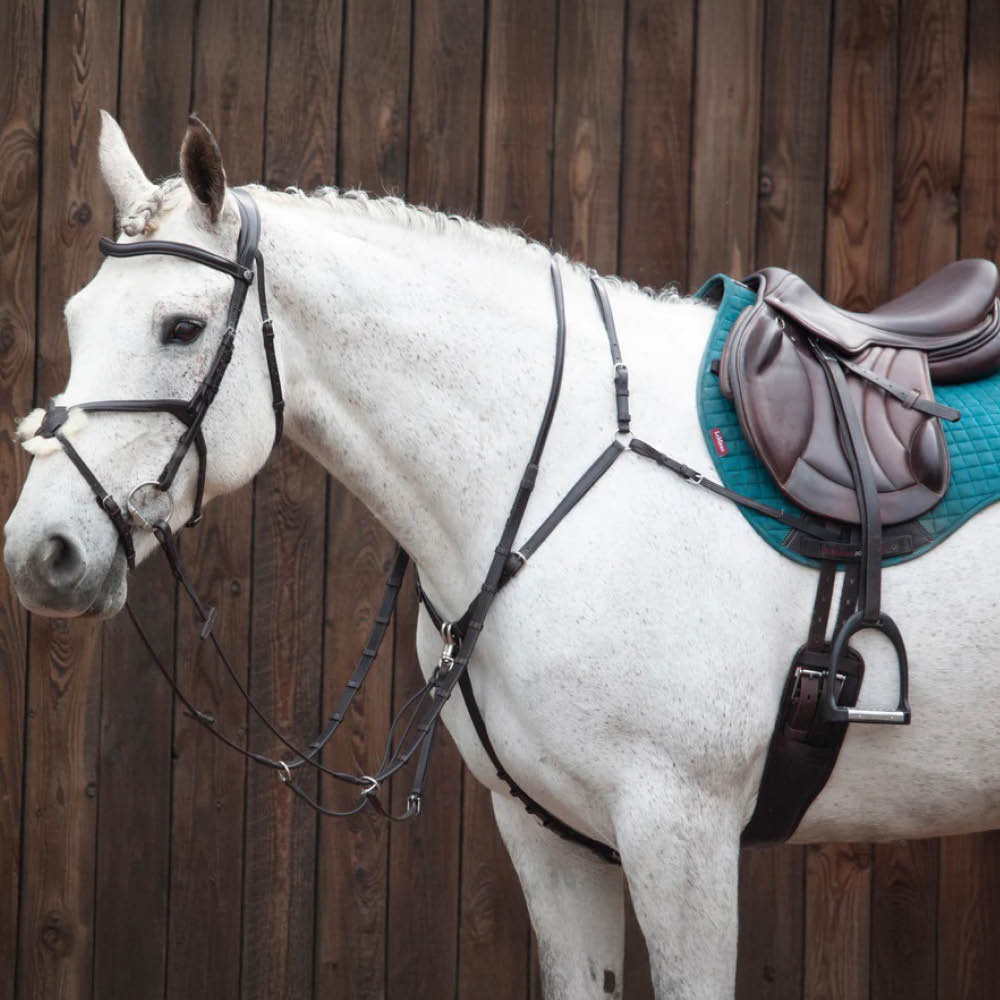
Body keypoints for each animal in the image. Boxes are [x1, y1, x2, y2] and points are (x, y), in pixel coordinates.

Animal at [7, 113, 1000, 996]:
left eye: (179, 327)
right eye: (75, 318)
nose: (38, 553)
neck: (558, 464)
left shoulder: (681, 832)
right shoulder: (551, 835)